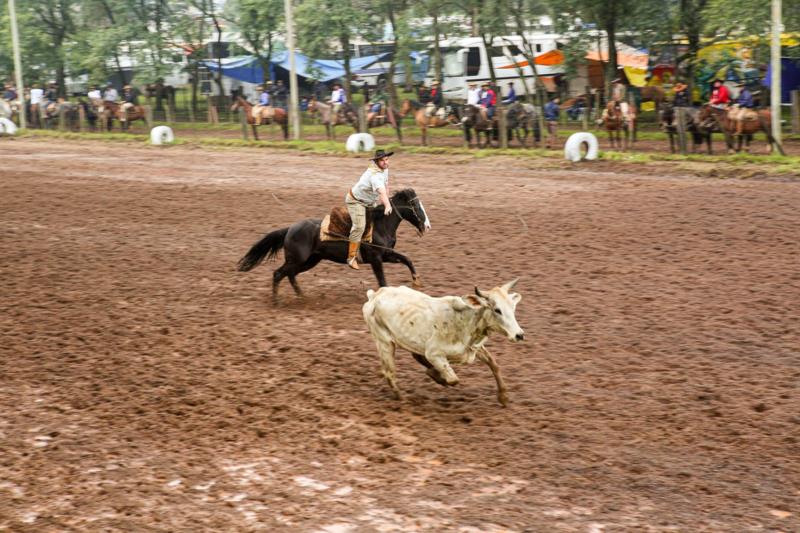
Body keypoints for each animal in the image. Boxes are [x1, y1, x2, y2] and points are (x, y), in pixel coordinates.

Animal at [362, 278, 524, 404]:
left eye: (513, 308)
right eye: (497, 310)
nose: (519, 335)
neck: (465, 321)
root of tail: (374, 295)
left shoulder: (474, 348)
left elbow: (494, 364)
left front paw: (503, 397)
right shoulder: (433, 353)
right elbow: (452, 379)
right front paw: (437, 375)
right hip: (384, 342)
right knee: (389, 373)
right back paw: (401, 398)